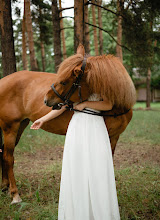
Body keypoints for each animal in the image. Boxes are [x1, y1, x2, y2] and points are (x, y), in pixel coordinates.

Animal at [0, 45, 136, 205]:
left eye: (64, 82)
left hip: (20, 125)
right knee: (9, 157)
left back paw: (5, 186)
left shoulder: (114, 137)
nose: (46, 100)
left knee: (3, 152)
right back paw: (15, 194)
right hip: (10, 127)